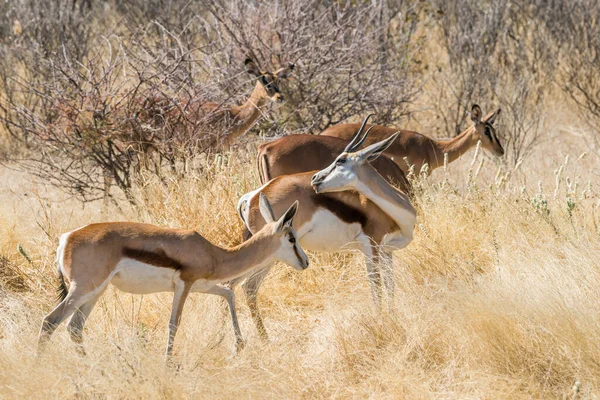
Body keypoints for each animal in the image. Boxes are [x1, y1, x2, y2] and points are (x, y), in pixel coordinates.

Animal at [39, 195, 308, 360]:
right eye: (291, 238)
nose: (306, 262)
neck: (215, 254)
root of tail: (66, 238)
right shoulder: (184, 285)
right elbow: (174, 323)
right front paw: (168, 364)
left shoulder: (204, 286)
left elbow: (229, 293)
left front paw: (238, 347)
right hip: (83, 289)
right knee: (50, 321)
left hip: (96, 291)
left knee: (74, 327)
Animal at [236, 120, 418, 340]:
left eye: (340, 160)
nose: (315, 178)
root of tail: (253, 196)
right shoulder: (371, 248)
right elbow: (376, 287)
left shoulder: (386, 251)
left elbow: (390, 286)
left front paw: (393, 317)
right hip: (270, 253)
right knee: (249, 286)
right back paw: (265, 339)